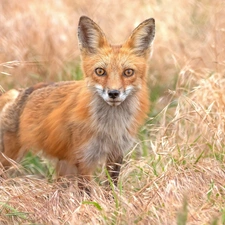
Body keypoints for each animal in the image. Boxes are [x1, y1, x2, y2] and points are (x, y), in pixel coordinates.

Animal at [0, 15, 155, 192]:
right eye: (100, 71)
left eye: (128, 72)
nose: (113, 93)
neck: (110, 127)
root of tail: (19, 92)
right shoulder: (84, 159)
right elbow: (87, 192)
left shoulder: (116, 155)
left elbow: (111, 189)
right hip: (11, 160)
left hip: (63, 168)